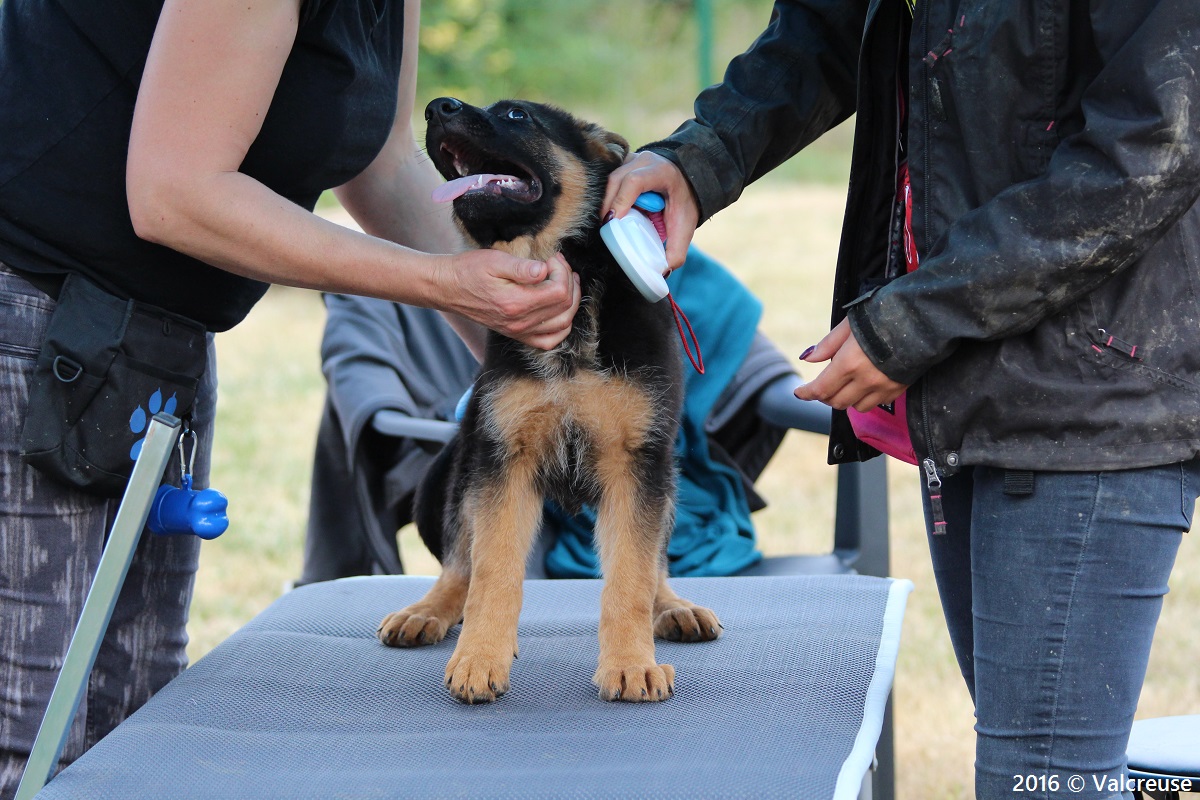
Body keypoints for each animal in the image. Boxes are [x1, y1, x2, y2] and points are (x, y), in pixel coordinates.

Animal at [376, 97, 720, 705]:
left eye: (515, 115)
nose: (437, 107)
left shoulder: (636, 464)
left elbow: (630, 576)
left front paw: (631, 665)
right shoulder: (504, 461)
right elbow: (493, 573)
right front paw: (480, 659)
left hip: (664, 477)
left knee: (654, 563)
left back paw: (673, 606)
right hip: (463, 466)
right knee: (459, 564)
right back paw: (427, 611)